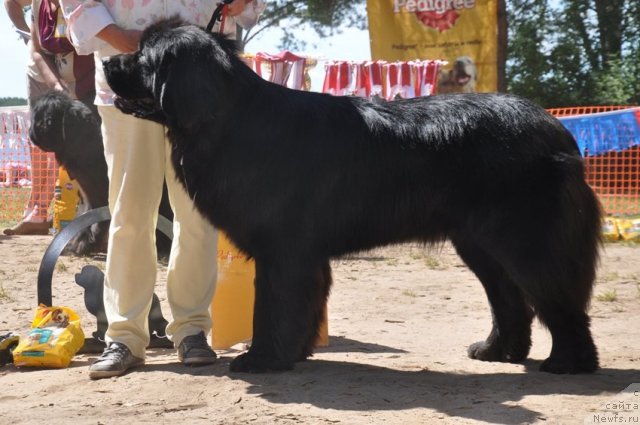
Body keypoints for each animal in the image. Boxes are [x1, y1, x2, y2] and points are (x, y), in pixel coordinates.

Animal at [102, 18, 604, 372]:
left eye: (143, 56)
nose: (106, 63)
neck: (226, 119)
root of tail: (556, 128)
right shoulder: (302, 252)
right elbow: (302, 304)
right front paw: (294, 353)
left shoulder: (283, 247)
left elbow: (273, 303)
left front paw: (262, 359)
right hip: (479, 243)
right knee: (510, 298)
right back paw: (499, 351)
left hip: (524, 239)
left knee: (558, 297)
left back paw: (567, 364)